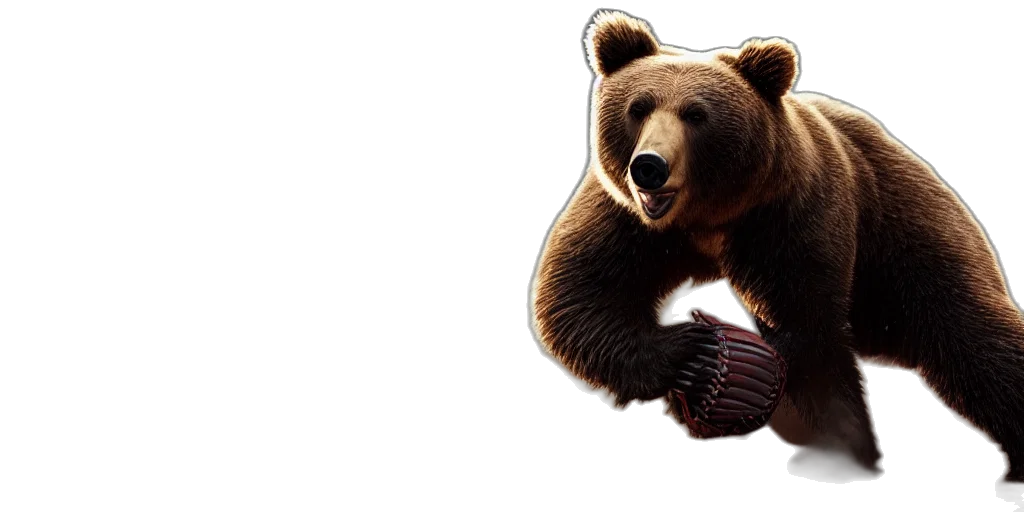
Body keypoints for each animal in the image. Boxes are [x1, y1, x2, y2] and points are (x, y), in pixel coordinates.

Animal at [528, 10, 1024, 484]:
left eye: (696, 114)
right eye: (638, 107)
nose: (650, 166)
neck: (709, 219)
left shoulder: (792, 213)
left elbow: (806, 329)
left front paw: (842, 442)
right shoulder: (626, 217)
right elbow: (582, 293)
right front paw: (692, 354)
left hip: (905, 228)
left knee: (972, 332)